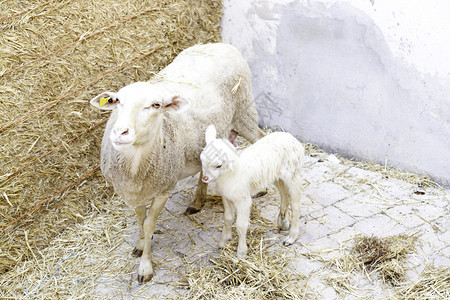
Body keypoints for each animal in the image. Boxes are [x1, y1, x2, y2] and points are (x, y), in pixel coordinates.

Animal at [89, 42, 266, 284]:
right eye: (117, 102)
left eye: (155, 105)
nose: (120, 132)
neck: (135, 165)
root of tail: (220, 44)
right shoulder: (133, 191)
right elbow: (140, 220)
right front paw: (140, 245)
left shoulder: (164, 189)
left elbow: (149, 224)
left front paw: (145, 267)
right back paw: (197, 202)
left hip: (244, 112)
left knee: (260, 137)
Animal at [201, 124, 304, 258]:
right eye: (202, 160)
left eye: (218, 165)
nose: (204, 178)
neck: (231, 173)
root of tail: (291, 137)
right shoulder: (226, 198)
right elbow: (227, 219)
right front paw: (223, 241)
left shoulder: (243, 200)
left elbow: (241, 225)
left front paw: (241, 252)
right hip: (276, 175)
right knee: (284, 193)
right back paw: (283, 222)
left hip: (293, 173)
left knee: (296, 204)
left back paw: (291, 237)